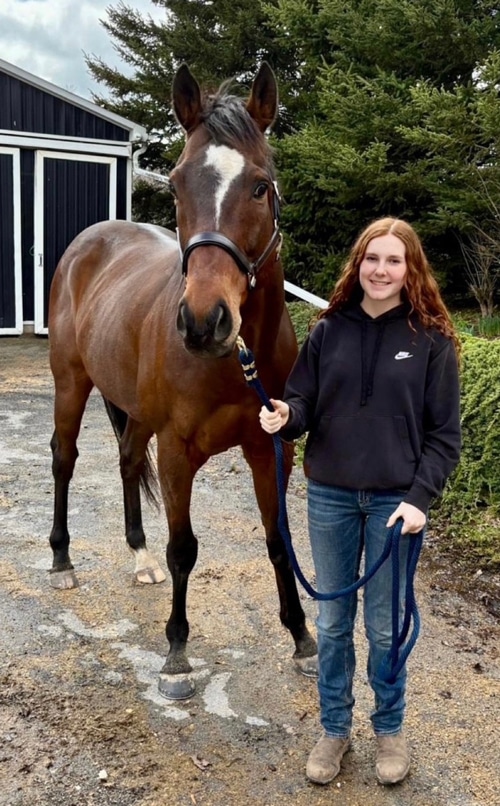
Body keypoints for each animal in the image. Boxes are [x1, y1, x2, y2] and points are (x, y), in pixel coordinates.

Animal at [47, 62, 317, 699]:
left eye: (261, 186)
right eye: (174, 185)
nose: (202, 321)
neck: (237, 360)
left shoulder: (271, 449)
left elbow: (278, 542)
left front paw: (300, 636)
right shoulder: (176, 450)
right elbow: (184, 549)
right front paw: (176, 652)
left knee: (125, 459)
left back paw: (138, 557)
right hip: (71, 385)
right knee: (65, 459)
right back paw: (63, 561)